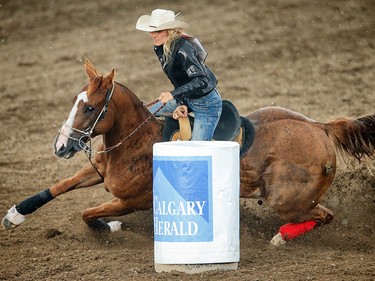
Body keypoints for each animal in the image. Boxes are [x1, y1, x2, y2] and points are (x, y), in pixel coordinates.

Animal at [2, 59, 375, 245]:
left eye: (91, 108)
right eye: (74, 101)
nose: (61, 146)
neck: (137, 143)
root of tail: (321, 127)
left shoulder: (134, 200)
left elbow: (88, 214)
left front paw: (114, 226)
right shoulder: (97, 170)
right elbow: (57, 188)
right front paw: (15, 214)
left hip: (286, 201)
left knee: (325, 215)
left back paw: (281, 237)